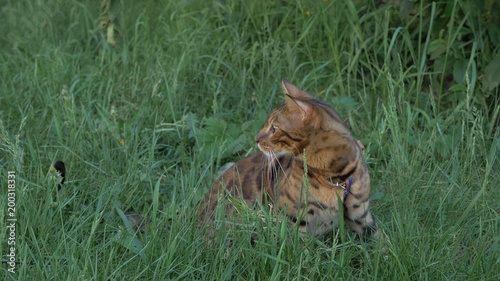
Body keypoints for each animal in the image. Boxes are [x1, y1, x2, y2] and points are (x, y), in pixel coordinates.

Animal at [198, 78, 378, 238]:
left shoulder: (361, 215)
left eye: (274, 128)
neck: (336, 177)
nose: (256, 139)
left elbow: (379, 242)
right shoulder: (292, 219)